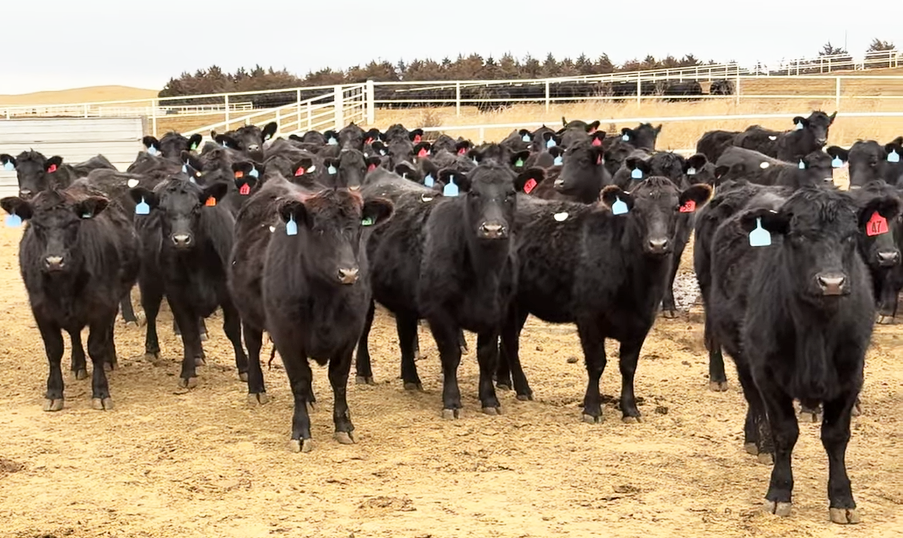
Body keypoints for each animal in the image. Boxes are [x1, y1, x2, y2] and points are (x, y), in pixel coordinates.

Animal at [1, 182, 139, 411]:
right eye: (36, 225)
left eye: (74, 223)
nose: (55, 261)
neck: (63, 285)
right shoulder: (41, 310)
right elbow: (54, 350)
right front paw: (54, 393)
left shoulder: (102, 305)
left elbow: (96, 348)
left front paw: (101, 392)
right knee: (74, 335)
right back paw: (78, 365)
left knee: (107, 331)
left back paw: (109, 360)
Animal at [128, 178, 248, 388]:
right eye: (162, 209)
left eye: (197, 207)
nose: (181, 240)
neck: (197, 263)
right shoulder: (177, 294)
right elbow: (187, 332)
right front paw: (187, 372)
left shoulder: (228, 294)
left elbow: (232, 330)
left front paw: (244, 368)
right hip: (148, 279)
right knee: (151, 312)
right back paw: (152, 349)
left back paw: (199, 355)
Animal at [230, 177, 394, 452]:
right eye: (319, 229)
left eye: (358, 227)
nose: (348, 273)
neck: (325, 301)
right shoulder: (286, 335)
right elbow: (299, 379)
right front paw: (301, 432)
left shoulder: (349, 335)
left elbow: (338, 380)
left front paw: (344, 426)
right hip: (247, 312)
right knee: (252, 347)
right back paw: (256, 389)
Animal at [496, 177, 712, 418]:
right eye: (636, 209)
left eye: (676, 208)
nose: (657, 244)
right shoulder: (588, 317)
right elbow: (596, 363)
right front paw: (592, 408)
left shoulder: (643, 321)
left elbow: (628, 366)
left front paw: (630, 408)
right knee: (510, 340)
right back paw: (522, 388)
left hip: (520, 302)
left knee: (509, 337)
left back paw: (509, 382)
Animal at [708, 185, 893, 524]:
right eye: (799, 236)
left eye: (851, 236)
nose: (832, 282)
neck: (816, 330)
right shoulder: (768, 374)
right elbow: (784, 431)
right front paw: (779, 493)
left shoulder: (851, 375)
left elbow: (836, 436)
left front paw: (842, 499)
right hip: (741, 355)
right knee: (754, 402)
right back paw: (759, 442)